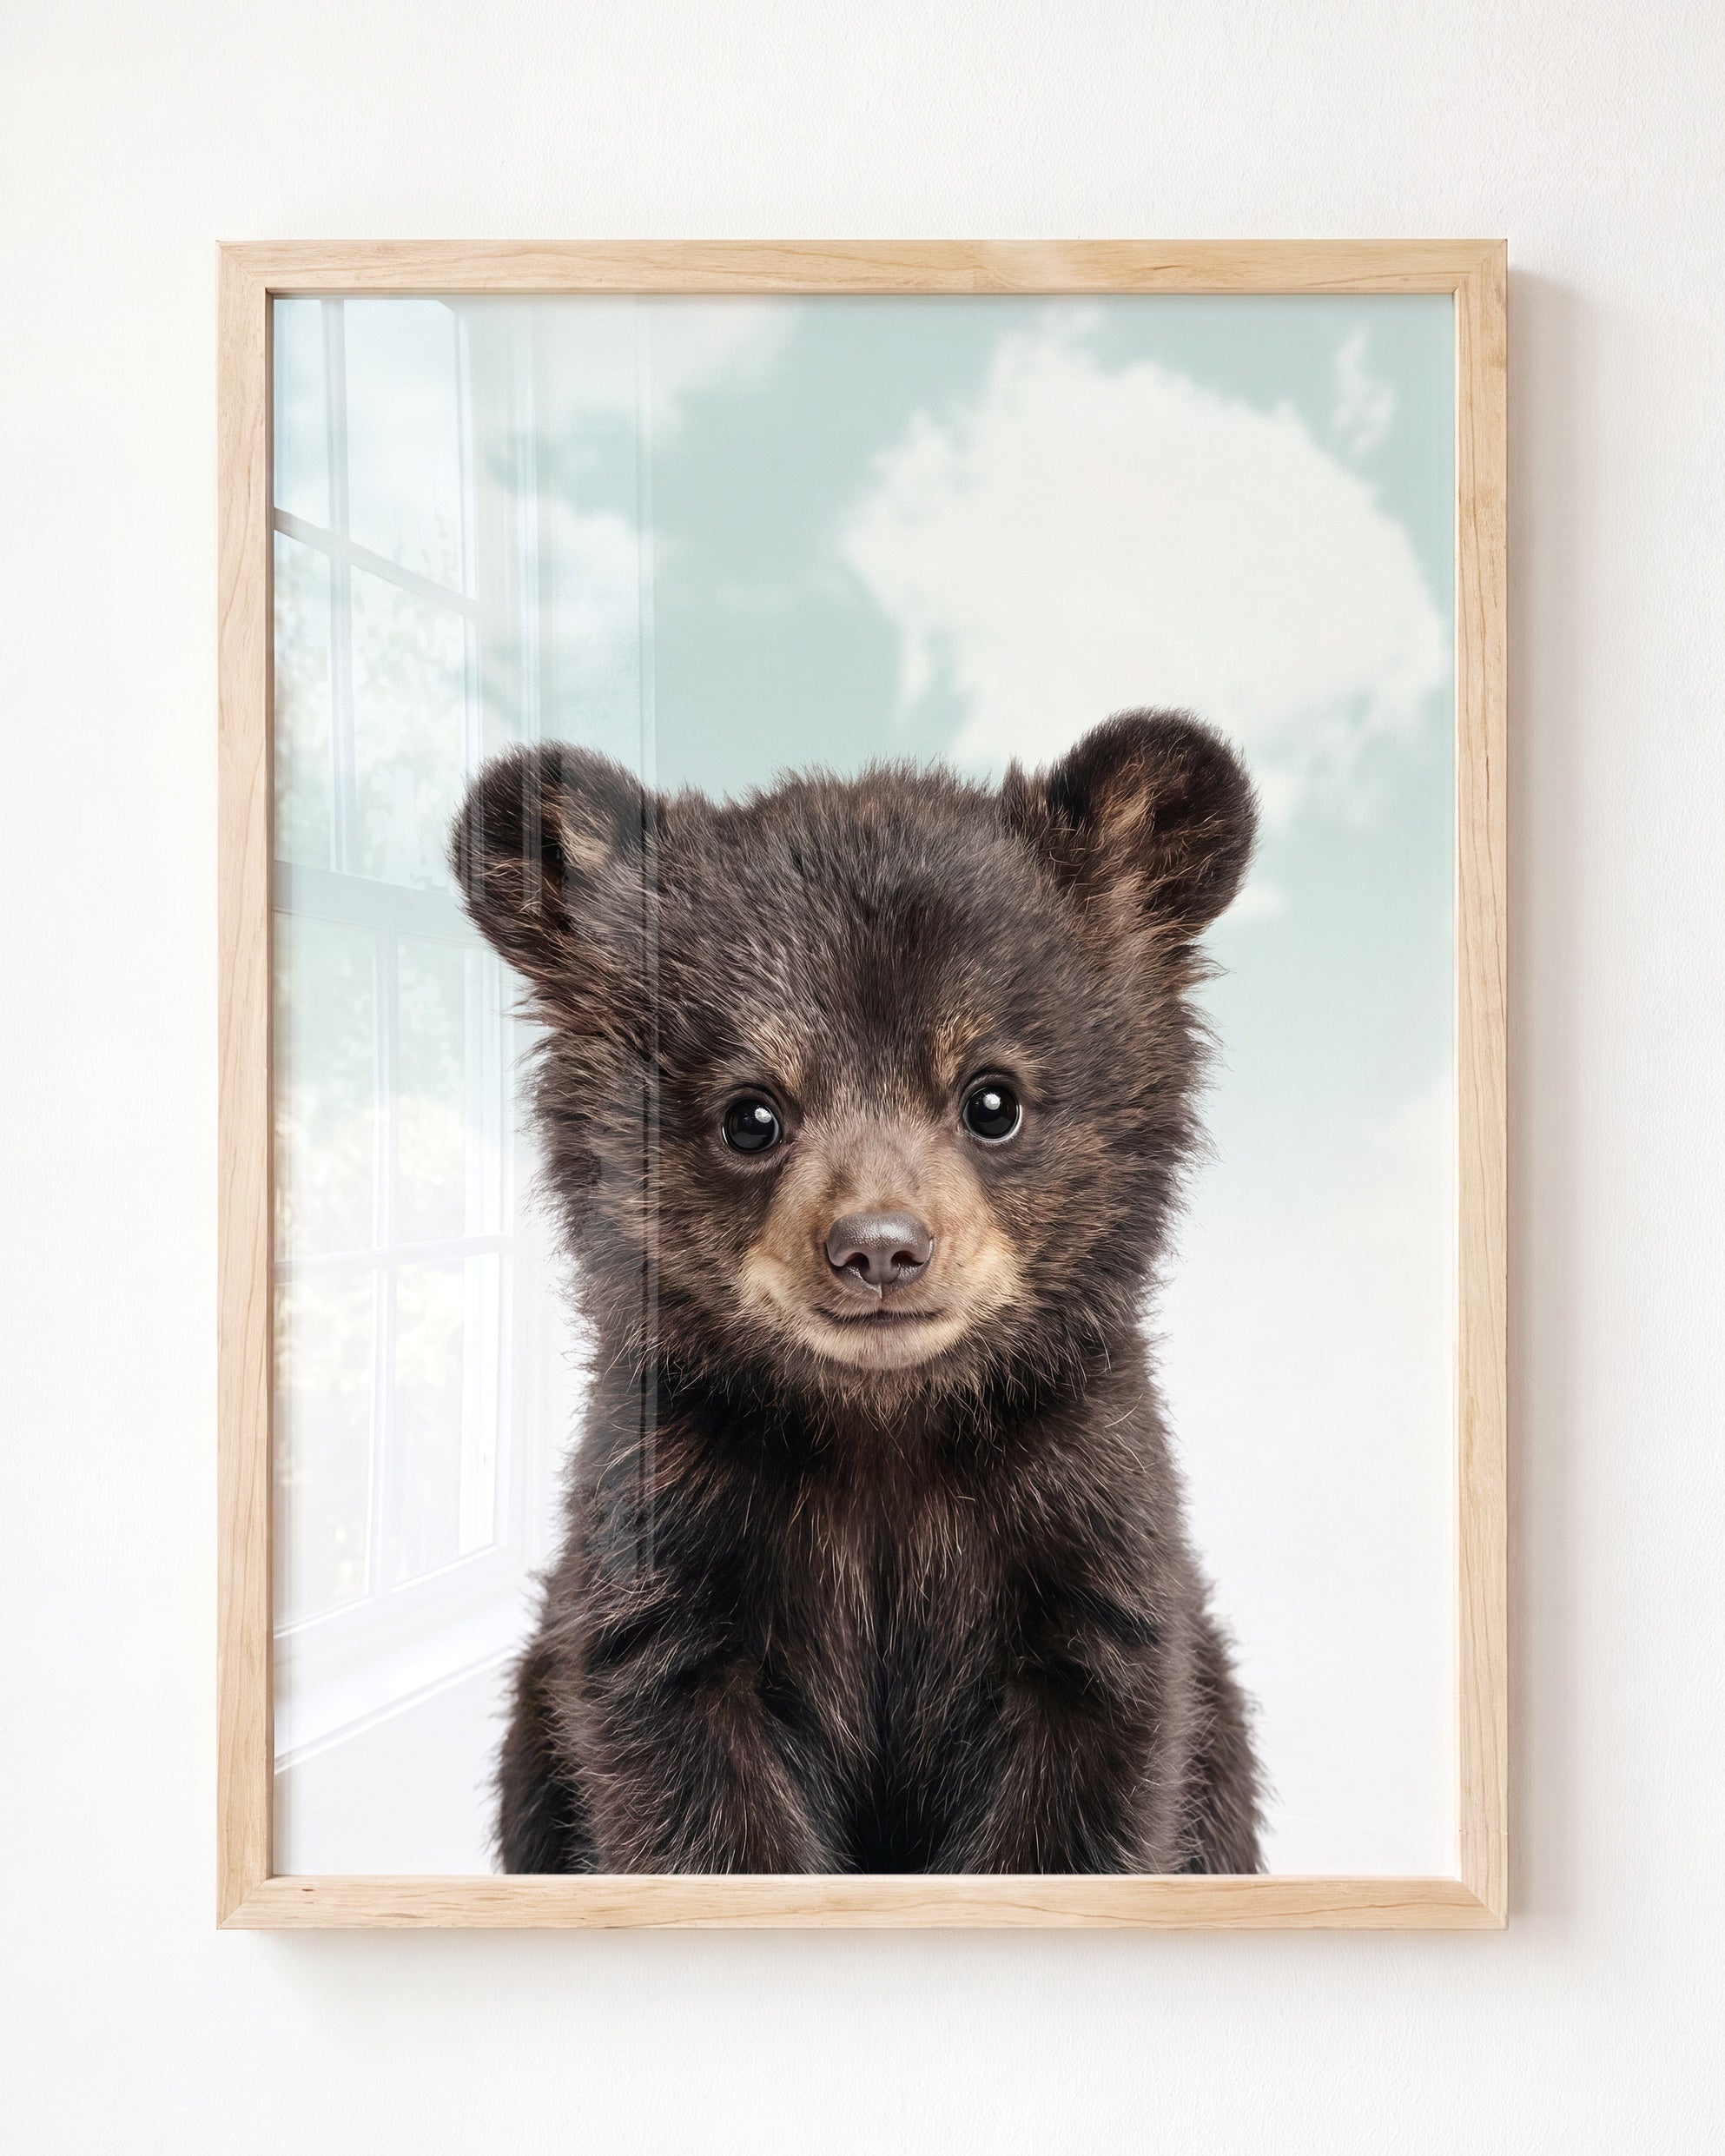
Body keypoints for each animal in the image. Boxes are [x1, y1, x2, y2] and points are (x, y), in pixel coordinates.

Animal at [451, 708, 1265, 1874]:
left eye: (993, 1099)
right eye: (750, 1114)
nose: (879, 1249)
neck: (882, 1432)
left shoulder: (1084, 1530)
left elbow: (1087, 1784)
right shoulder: (666, 1540)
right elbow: (689, 1789)